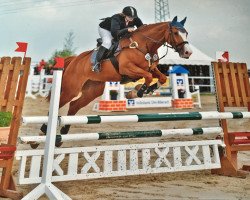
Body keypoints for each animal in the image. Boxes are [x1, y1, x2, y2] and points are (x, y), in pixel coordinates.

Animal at [39, 16, 192, 142]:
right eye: (176, 32)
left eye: (186, 33)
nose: (188, 53)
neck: (143, 45)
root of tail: (74, 60)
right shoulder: (127, 68)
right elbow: (147, 77)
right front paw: (136, 92)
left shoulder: (151, 69)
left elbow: (162, 78)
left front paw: (147, 89)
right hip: (71, 89)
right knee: (60, 103)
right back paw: (42, 133)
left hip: (92, 90)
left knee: (74, 105)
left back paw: (63, 133)